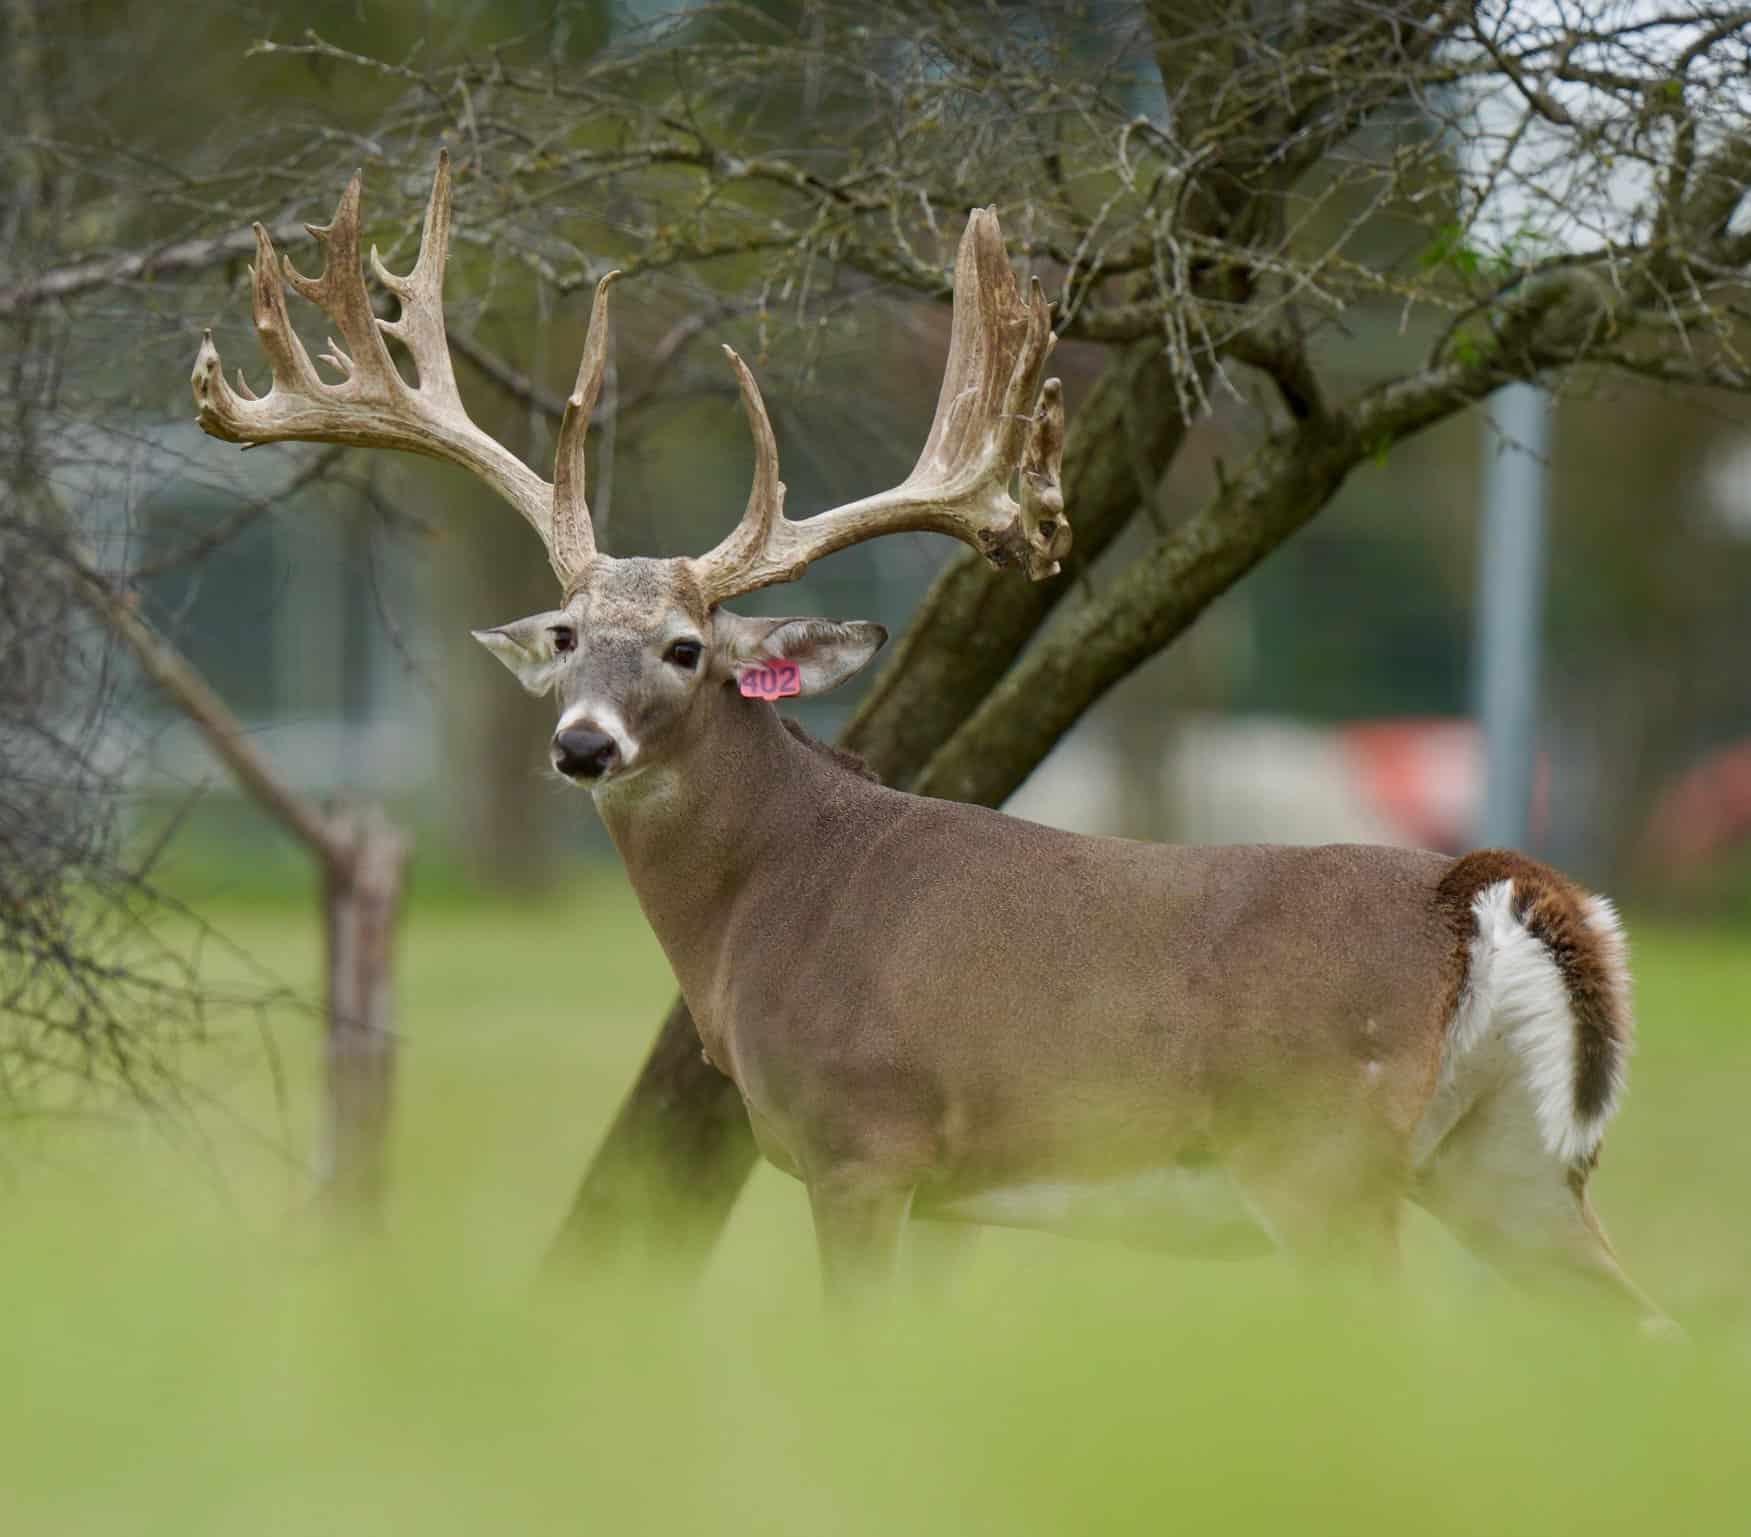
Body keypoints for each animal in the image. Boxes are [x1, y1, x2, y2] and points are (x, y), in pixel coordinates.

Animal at [192, 153, 1670, 1329]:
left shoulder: (865, 1139)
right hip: (1504, 1164)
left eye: (685, 649)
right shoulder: (961, 1190)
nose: (582, 746)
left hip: (1320, 1154)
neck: (764, 907)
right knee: (1641, 1325)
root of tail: (1471, 884)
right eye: (563, 634)